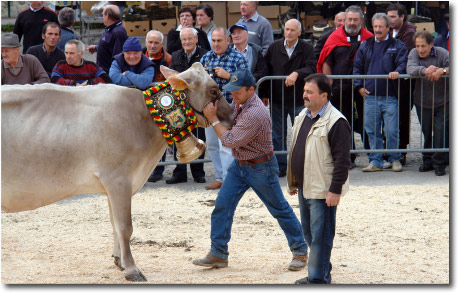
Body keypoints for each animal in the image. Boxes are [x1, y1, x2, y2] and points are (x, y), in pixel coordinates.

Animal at [1, 62, 234, 280]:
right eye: (214, 90)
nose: (232, 116)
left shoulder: (112, 185)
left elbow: (114, 223)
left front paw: (118, 260)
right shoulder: (118, 180)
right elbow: (125, 227)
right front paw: (132, 269)